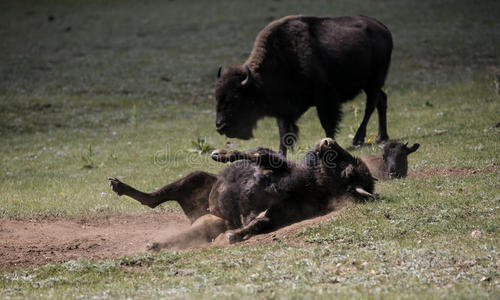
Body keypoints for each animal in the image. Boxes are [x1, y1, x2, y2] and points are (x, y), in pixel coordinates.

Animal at [108, 138, 376, 248]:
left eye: (346, 167)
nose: (327, 141)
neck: (309, 182)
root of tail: (212, 212)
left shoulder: (282, 212)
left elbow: (259, 222)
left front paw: (233, 236)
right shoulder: (274, 166)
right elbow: (258, 154)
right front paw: (219, 154)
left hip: (205, 222)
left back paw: (154, 244)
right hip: (195, 178)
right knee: (154, 198)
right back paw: (118, 185)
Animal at [215, 14, 394, 155]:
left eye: (236, 98)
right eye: (217, 97)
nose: (219, 126)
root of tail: (384, 29)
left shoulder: (325, 98)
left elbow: (327, 123)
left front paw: (330, 143)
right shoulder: (283, 110)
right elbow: (283, 132)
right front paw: (281, 154)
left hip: (373, 81)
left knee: (371, 105)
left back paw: (358, 139)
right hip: (370, 84)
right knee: (382, 100)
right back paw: (381, 137)